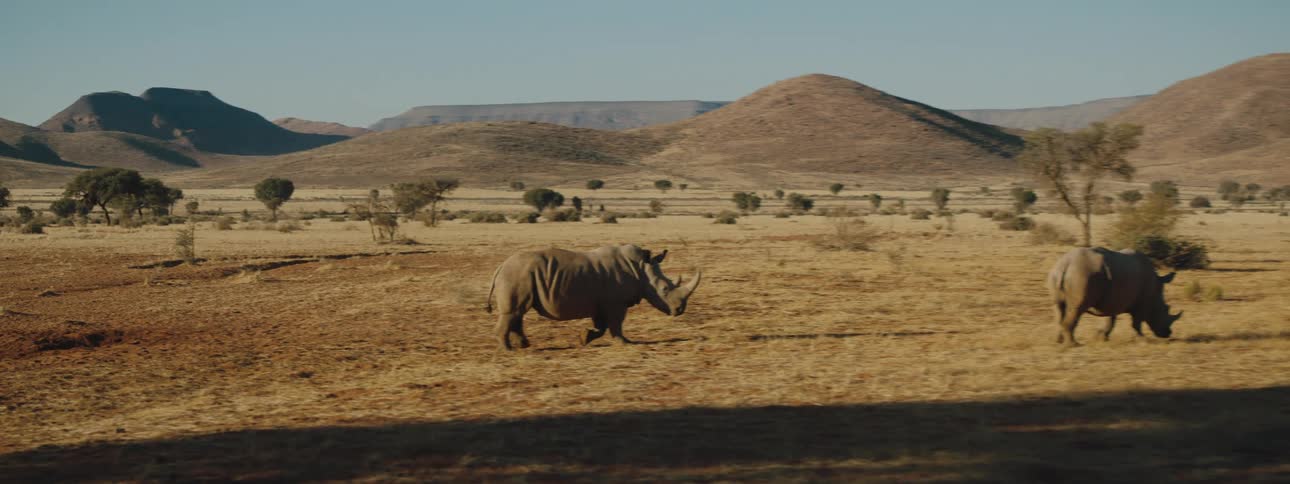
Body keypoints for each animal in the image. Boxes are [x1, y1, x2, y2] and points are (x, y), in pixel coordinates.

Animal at [485, 244, 701, 350]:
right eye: (664, 289)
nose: (680, 310)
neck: (642, 269)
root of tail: (500, 266)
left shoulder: (603, 303)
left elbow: (602, 326)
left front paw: (584, 338)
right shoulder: (615, 302)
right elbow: (616, 324)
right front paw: (625, 343)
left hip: (521, 275)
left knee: (518, 312)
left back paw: (523, 345)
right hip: (516, 275)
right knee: (513, 312)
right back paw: (508, 350)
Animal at [1047, 247, 1182, 346]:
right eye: (1165, 309)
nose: (1168, 333)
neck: (1155, 292)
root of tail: (1066, 264)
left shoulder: (1113, 298)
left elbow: (1111, 319)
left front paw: (1101, 337)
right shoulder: (1141, 303)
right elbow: (1136, 322)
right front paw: (1143, 340)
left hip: (1059, 274)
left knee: (1058, 307)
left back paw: (1058, 341)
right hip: (1081, 275)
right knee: (1076, 309)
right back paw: (1073, 344)